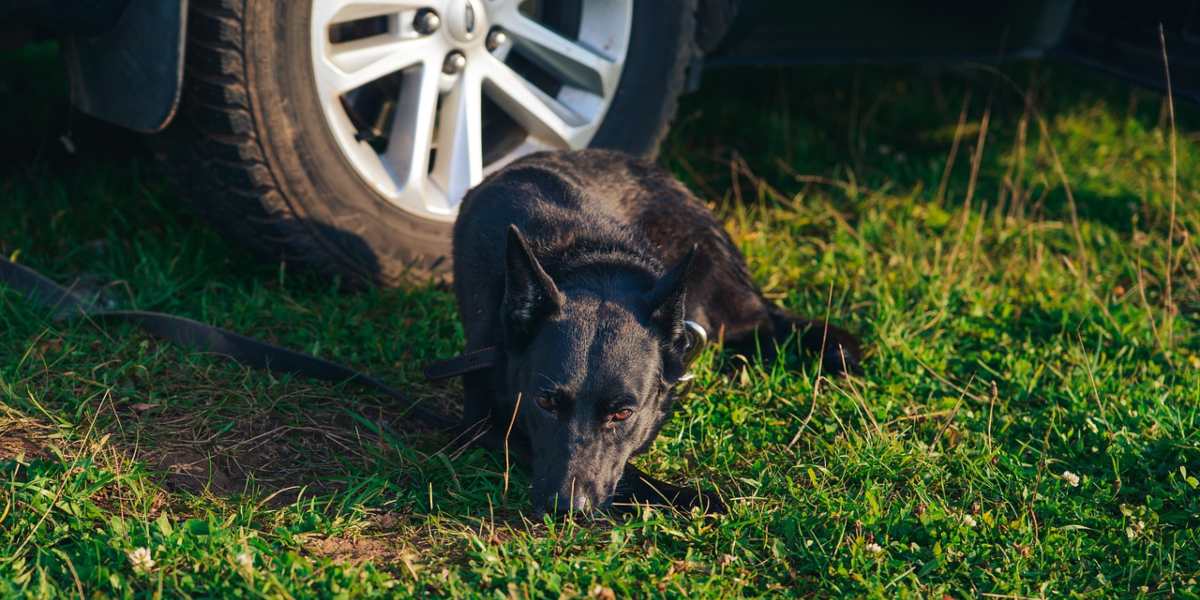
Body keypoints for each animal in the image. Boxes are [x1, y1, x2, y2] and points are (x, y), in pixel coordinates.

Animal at [448, 151, 854, 516]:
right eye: (545, 402)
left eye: (622, 414)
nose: (567, 508)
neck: (593, 265)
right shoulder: (483, 422)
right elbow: (629, 476)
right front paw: (688, 498)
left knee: (763, 323)